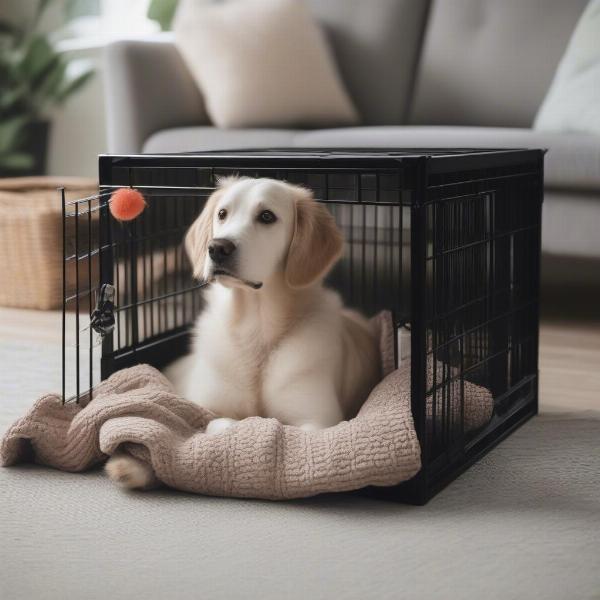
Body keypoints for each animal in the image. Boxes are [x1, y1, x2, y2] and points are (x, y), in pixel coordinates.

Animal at [104, 176, 380, 490]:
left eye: (267, 216)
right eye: (222, 214)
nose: (217, 247)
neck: (254, 329)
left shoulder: (319, 421)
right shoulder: (205, 406)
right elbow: (205, 426)